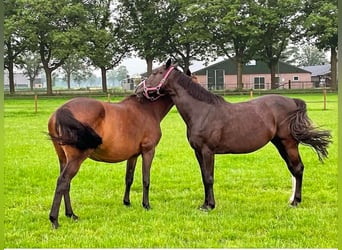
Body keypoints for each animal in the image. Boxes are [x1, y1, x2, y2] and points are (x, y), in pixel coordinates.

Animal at [47, 94, 174, 229]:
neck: (147, 109)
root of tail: (61, 110)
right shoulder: (148, 151)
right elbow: (146, 180)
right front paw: (146, 205)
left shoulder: (132, 156)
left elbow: (129, 178)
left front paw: (127, 202)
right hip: (75, 160)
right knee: (63, 181)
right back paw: (54, 220)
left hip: (63, 159)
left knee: (66, 184)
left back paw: (71, 214)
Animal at [136, 59, 332, 210]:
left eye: (157, 72)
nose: (138, 89)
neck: (202, 111)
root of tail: (293, 101)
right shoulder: (198, 152)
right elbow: (204, 177)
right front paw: (205, 203)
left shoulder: (208, 151)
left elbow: (209, 178)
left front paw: (210, 206)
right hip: (280, 144)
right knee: (293, 168)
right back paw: (293, 200)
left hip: (289, 143)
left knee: (298, 169)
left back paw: (295, 202)